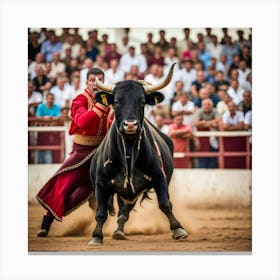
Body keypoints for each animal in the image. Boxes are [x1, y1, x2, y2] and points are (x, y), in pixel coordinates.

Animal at [88, 64, 187, 245]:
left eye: (142, 102)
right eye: (116, 101)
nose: (130, 124)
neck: (128, 149)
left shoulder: (159, 177)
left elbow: (165, 203)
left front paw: (178, 228)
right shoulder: (100, 183)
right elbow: (101, 212)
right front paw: (96, 236)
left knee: (126, 210)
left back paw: (119, 231)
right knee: (122, 210)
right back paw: (118, 231)